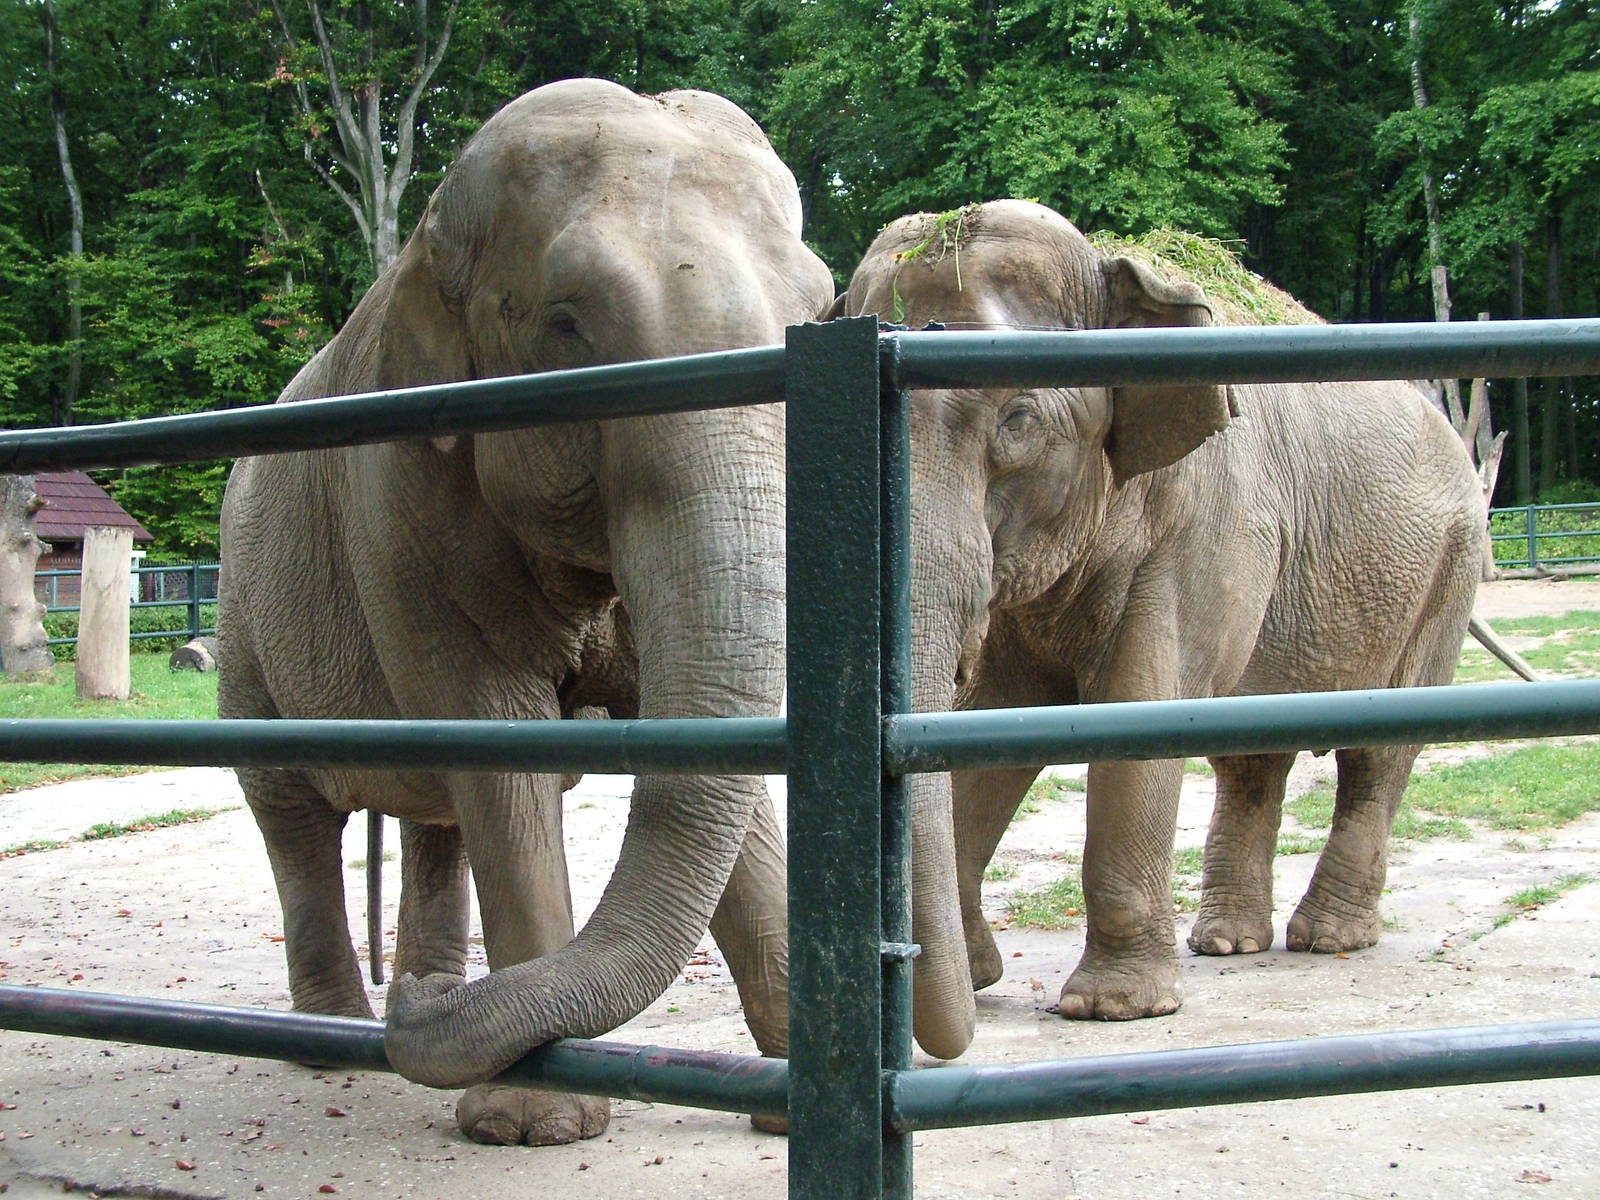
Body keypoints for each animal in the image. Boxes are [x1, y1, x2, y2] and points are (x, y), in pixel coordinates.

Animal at [218, 79, 834, 1144]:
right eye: (567, 325)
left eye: (822, 308)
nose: (427, 1008)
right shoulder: (400, 499)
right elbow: (498, 733)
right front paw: (532, 1124)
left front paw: (792, 1107)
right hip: (243, 623)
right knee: (293, 815)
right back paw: (341, 1039)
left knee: (435, 820)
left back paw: (416, 985)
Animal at [836, 199, 1484, 1060]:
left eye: (1018, 419)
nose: (903, 967)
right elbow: (999, 720)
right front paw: (978, 979)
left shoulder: (1209, 517)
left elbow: (1137, 706)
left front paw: (1115, 1008)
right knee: (1251, 758)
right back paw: (1228, 942)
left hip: (1450, 567)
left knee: (1381, 751)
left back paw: (1329, 938)